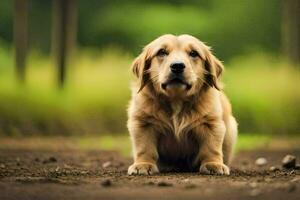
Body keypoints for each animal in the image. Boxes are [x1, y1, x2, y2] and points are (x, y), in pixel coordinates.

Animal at [126, 34, 237, 175]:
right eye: (162, 52)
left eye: (194, 53)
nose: (177, 66)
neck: (176, 100)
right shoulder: (143, 122)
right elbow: (144, 147)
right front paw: (143, 164)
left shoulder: (211, 123)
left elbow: (212, 147)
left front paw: (213, 164)